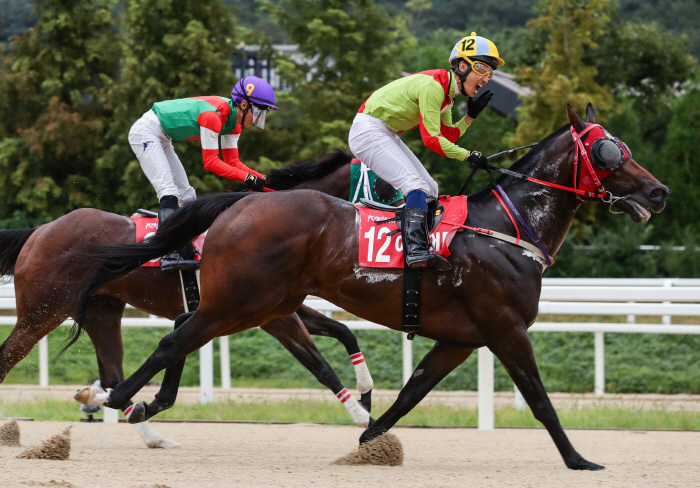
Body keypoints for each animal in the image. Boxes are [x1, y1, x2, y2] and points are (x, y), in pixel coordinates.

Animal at [0, 151, 400, 448]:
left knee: (113, 375)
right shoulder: (274, 316)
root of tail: (41, 231)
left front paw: (366, 392)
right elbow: (320, 365)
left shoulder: (282, 306)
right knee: (8, 356)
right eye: (384, 183)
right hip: (43, 310)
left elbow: (344, 332)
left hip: (103, 310)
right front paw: (363, 416)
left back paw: (152, 435)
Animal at [69, 105, 668, 470]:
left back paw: (132, 402)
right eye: (611, 151)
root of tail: (241, 205)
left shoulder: (460, 339)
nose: (659, 192)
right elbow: (541, 401)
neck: (508, 226)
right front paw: (579, 459)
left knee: (182, 334)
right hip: (243, 301)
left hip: (264, 304)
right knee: (175, 339)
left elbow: (411, 393)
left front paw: (366, 439)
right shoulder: (506, 329)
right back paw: (114, 398)